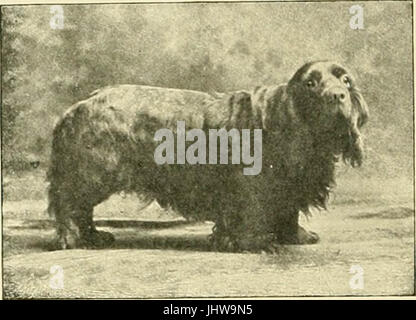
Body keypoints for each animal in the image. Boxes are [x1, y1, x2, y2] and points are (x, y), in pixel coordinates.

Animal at [47, 60, 368, 250]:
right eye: (311, 84)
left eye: (346, 81)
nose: (337, 96)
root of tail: (78, 106)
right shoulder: (249, 185)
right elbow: (252, 213)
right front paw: (256, 242)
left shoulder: (289, 183)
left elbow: (287, 211)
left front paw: (296, 237)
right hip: (93, 173)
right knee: (71, 204)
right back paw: (75, 240)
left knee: (81, 209)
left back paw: (92, 237)